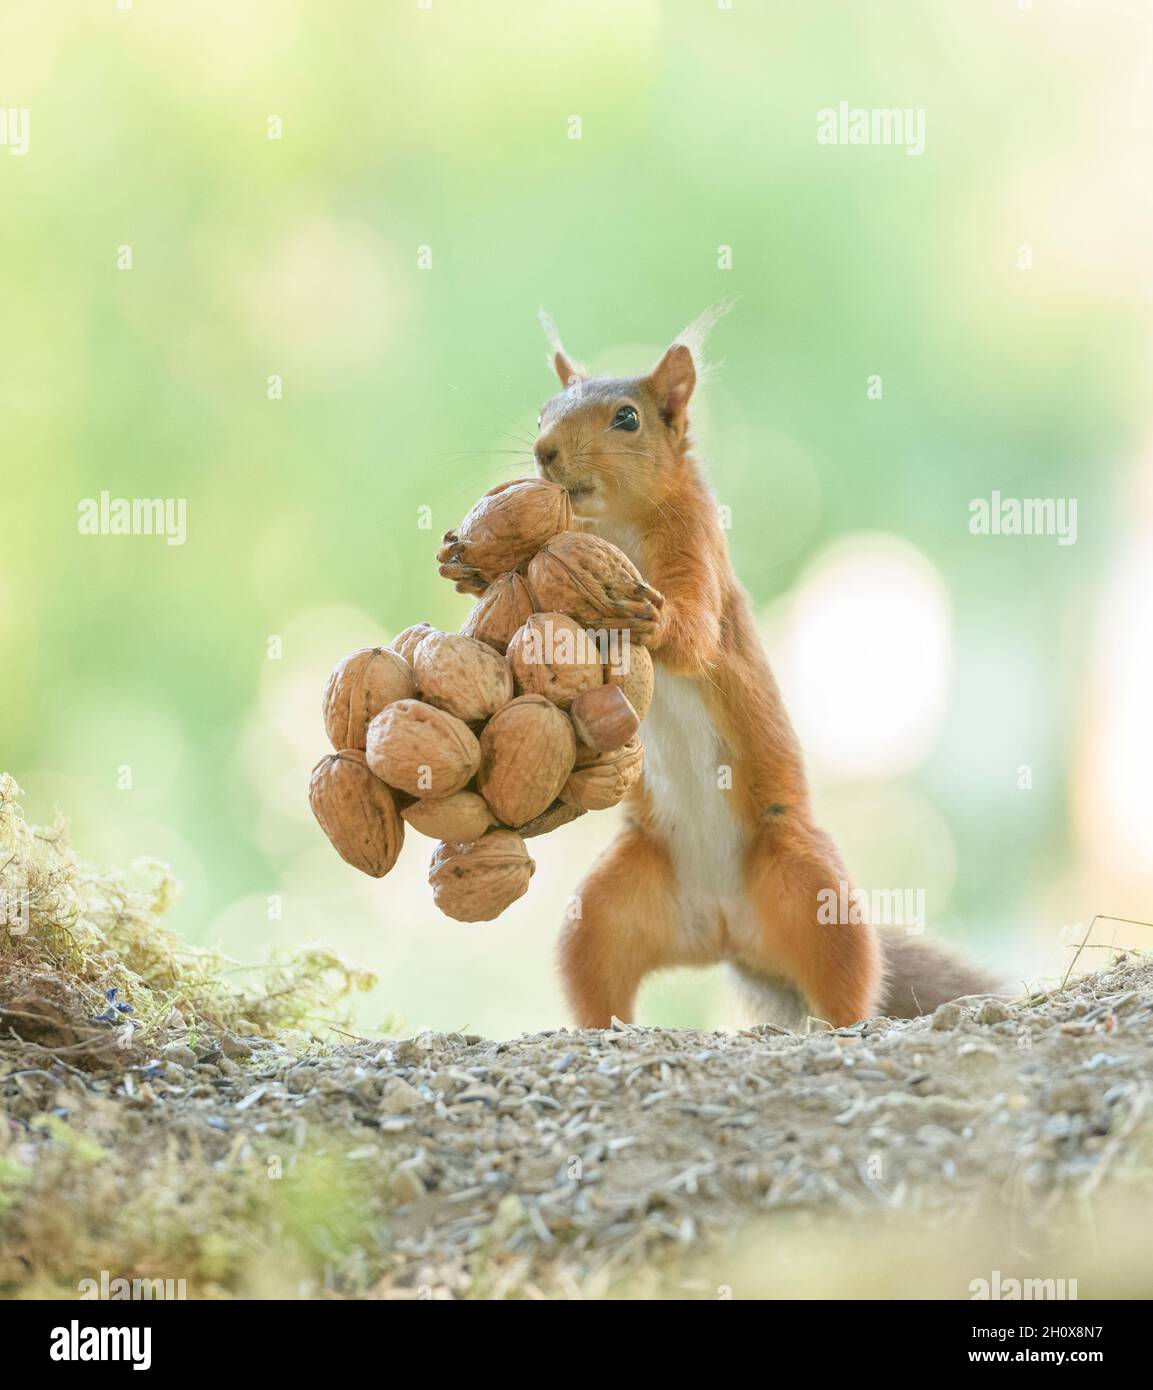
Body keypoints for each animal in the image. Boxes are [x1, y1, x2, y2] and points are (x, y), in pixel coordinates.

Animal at [529, 313, 1002, 1030]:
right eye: (543, 409)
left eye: (627, 419)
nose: (544, 451)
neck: (616, 524)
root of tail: (723, 931)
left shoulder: (698, 552)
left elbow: (695, 635)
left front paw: (652, 622)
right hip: (610, 905)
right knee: (594, 971)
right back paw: (603, 1029)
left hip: (806, 883)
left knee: (847, 972)